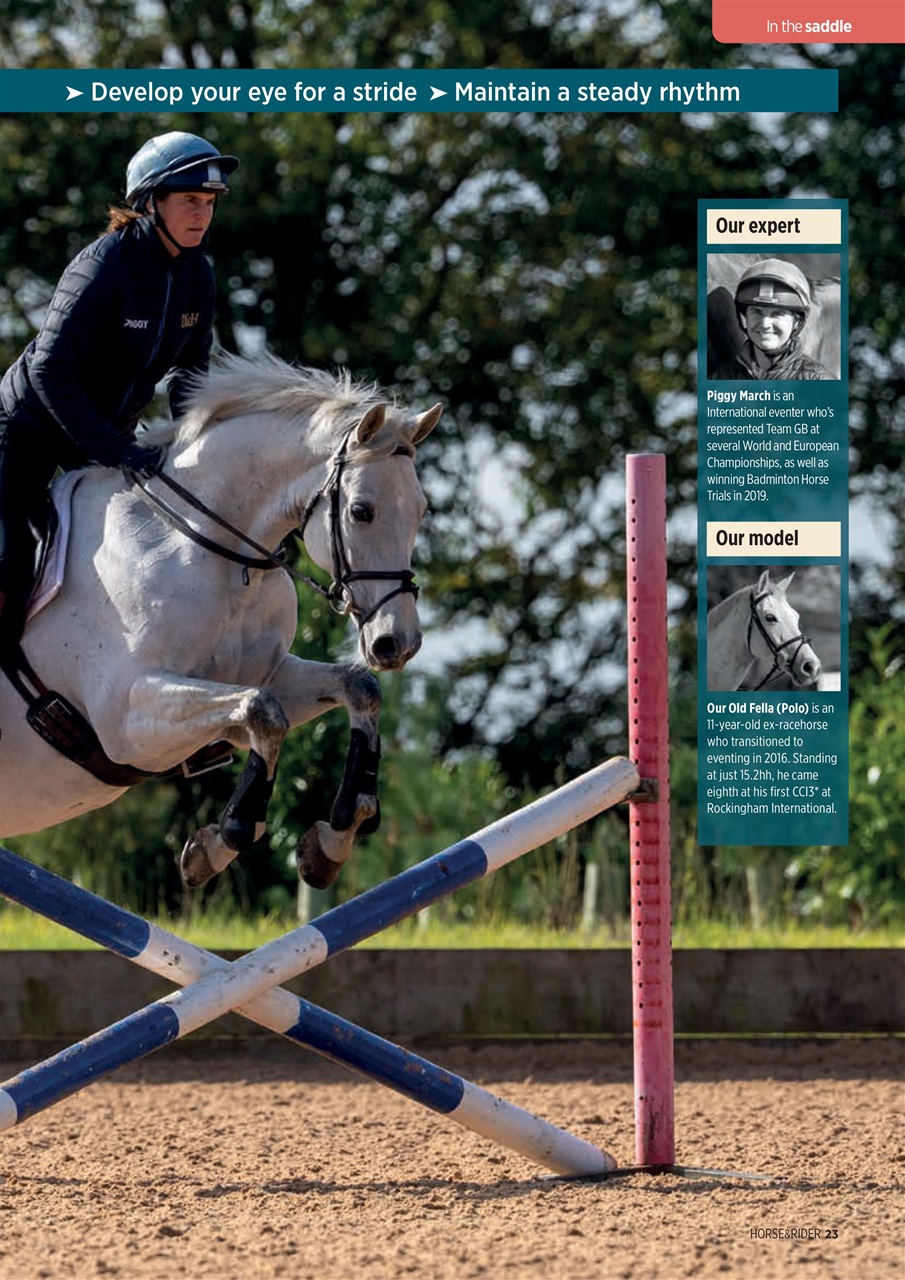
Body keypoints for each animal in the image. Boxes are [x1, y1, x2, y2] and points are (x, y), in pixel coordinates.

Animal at [0, 353, 441, 891]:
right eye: (361, 511)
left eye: (420, 511)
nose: (398, 643)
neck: (210, 549)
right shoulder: (125, 718)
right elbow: (261, 712)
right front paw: (226, 837)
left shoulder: (261, 676)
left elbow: (357, 688)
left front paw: (333, 838)